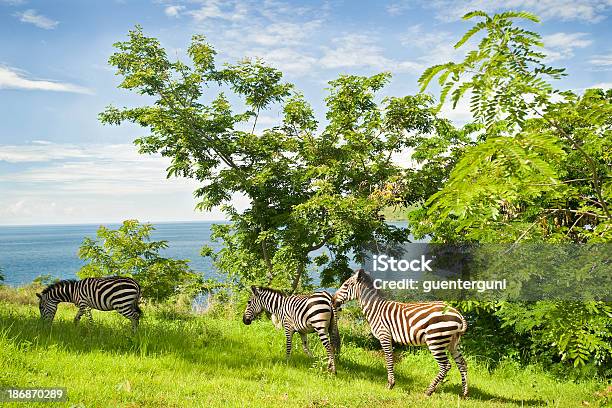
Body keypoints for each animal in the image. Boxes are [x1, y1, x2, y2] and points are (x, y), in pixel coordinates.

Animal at [332, 270, 466, 396]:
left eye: (346, 285)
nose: (333, 300)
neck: (375, 309)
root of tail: (458, 314)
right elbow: (390, 358)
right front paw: (391, 383)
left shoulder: (384, 335)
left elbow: (388, 359)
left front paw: (390, 384)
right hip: (453, 343)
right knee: (462, 363)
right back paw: (464, 393)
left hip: (436, 340)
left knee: (446, 365)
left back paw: (429, 391)